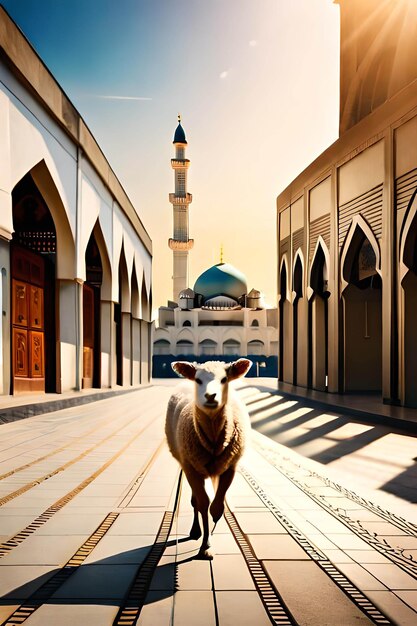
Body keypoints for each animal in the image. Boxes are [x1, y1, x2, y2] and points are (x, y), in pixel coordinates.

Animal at [165, 358, 250, 560]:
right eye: (198, 380)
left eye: (224, 379)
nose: (210, 396)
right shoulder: (191, 469)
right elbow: (203, 504)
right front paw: (205, 545)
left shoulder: (230, 468)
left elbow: (216, 507)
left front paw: (212, 529)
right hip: (187, 463)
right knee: (194, 501)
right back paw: (196, 530)